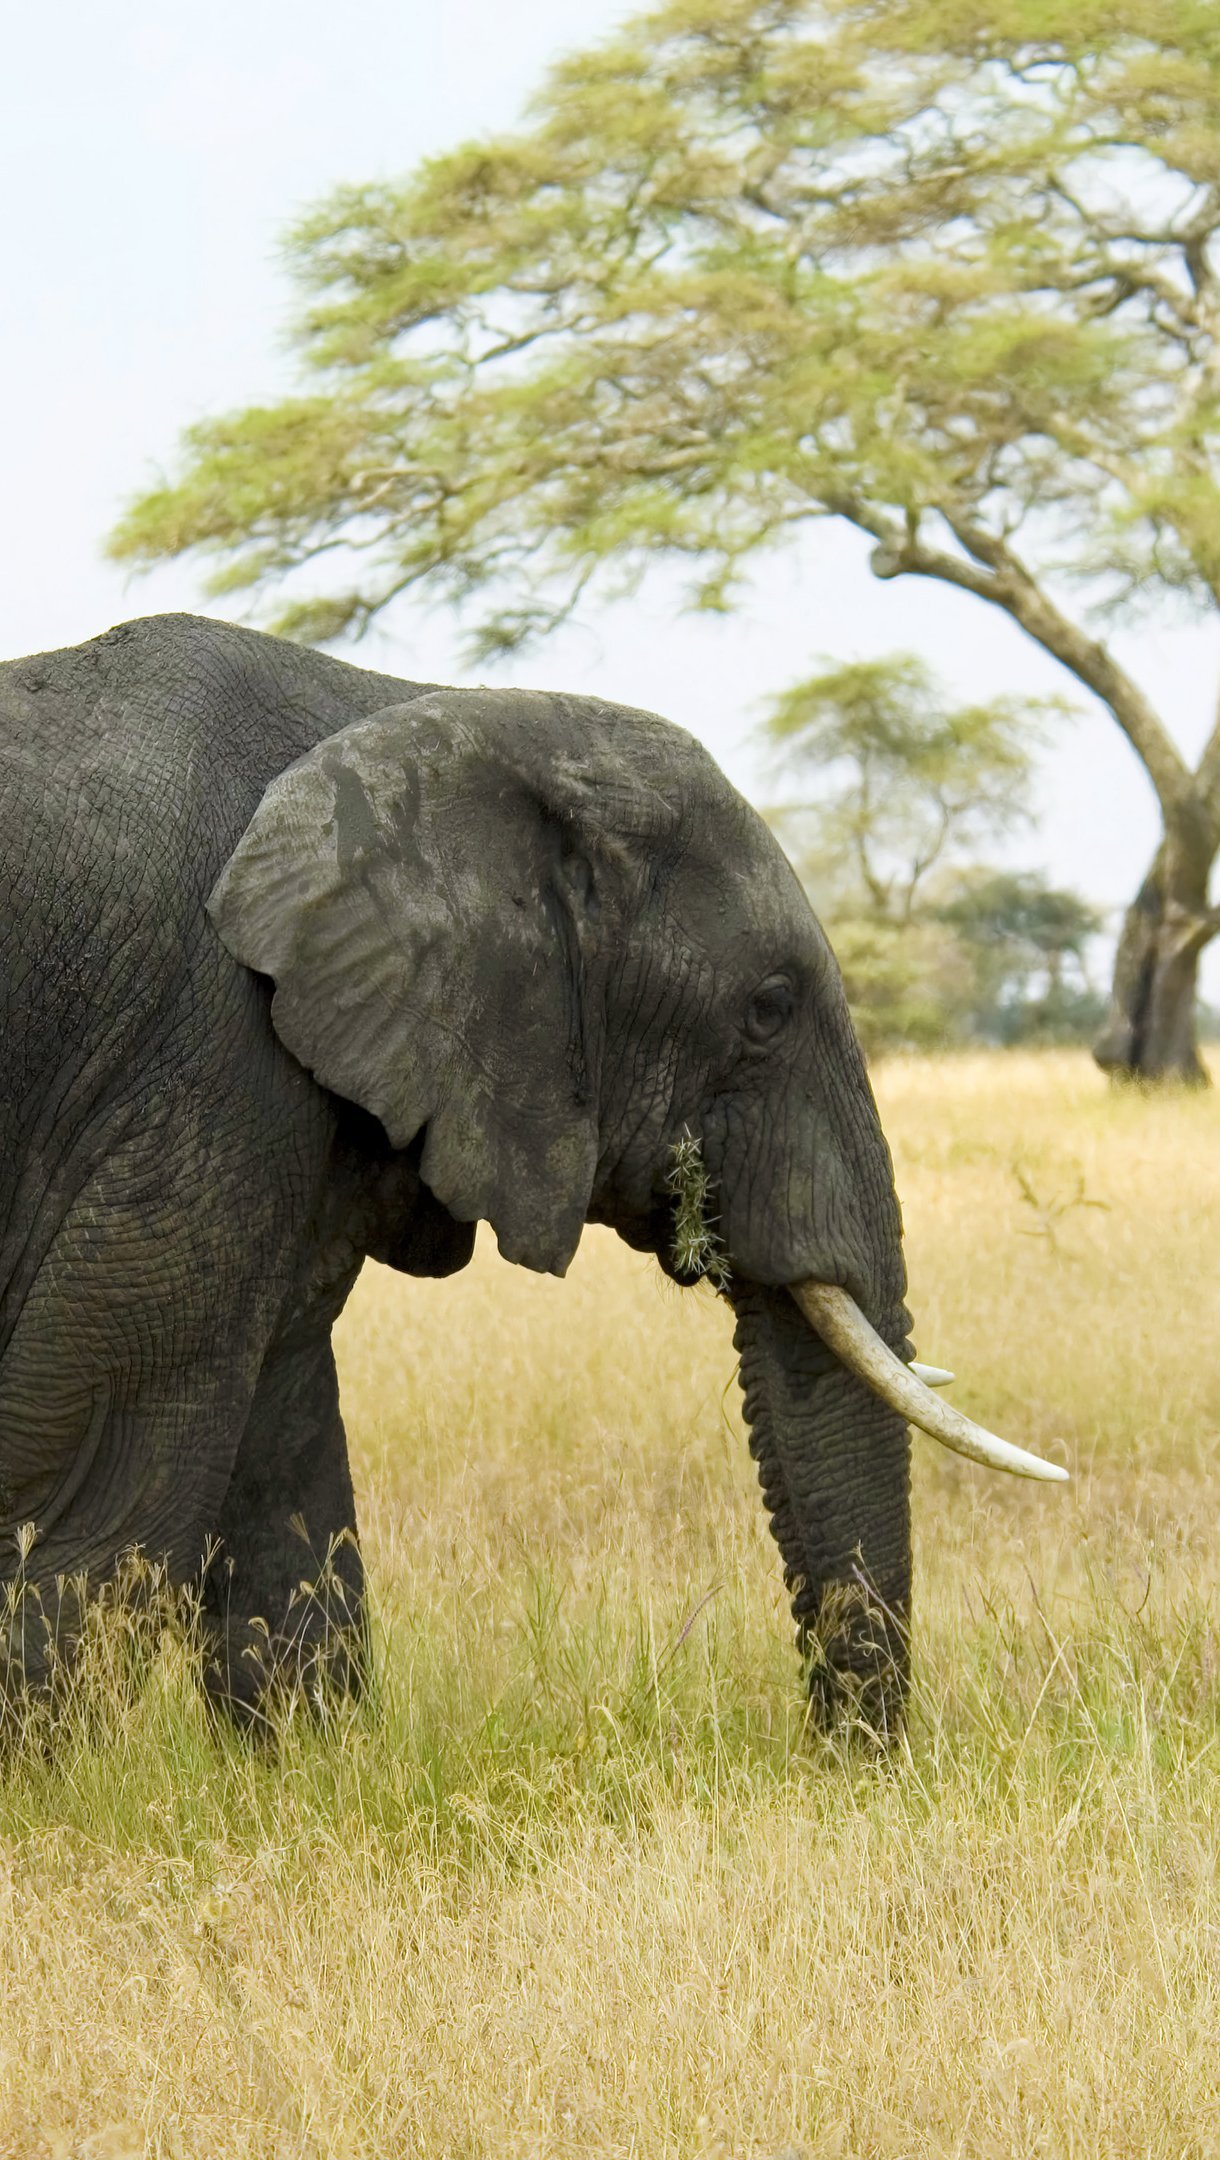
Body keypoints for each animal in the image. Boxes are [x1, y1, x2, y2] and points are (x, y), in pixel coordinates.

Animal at [0, 609, 1062, 1736]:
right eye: (768, 1008)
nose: (844, 1761)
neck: (422, 713)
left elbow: (282, 1479)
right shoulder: (210, 1059)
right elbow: (104, 1514)